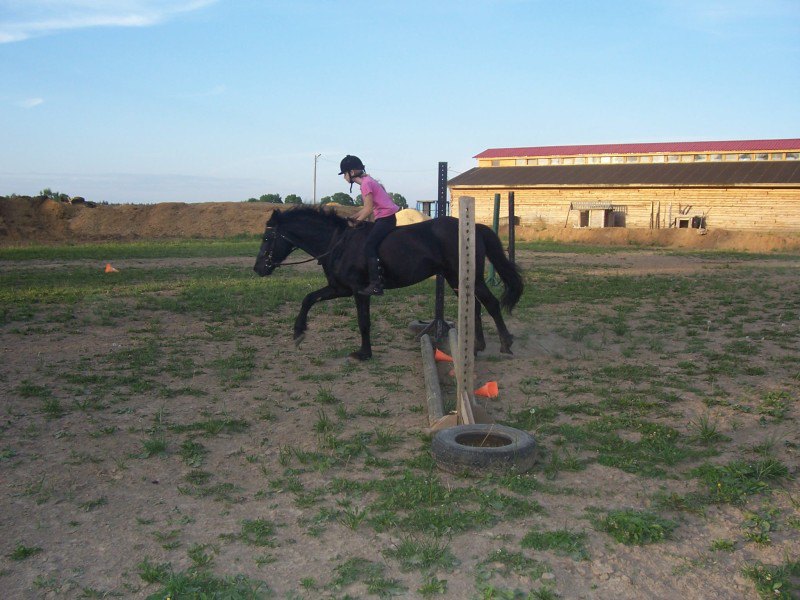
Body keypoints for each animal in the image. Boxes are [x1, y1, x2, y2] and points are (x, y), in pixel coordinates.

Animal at [253, 206, 520, 360]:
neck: (337, 243)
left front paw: (364, 353)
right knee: (475, 305)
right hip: (457, 279)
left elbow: (363, 322)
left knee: (491, 303)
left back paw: (505, 344)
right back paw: (476, 347)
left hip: (465, 277)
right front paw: (298, 333)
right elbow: (308, 299)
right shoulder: (339, 289)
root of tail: (473, 227)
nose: (258, 269)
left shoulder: (359, 291)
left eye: (267, 237)